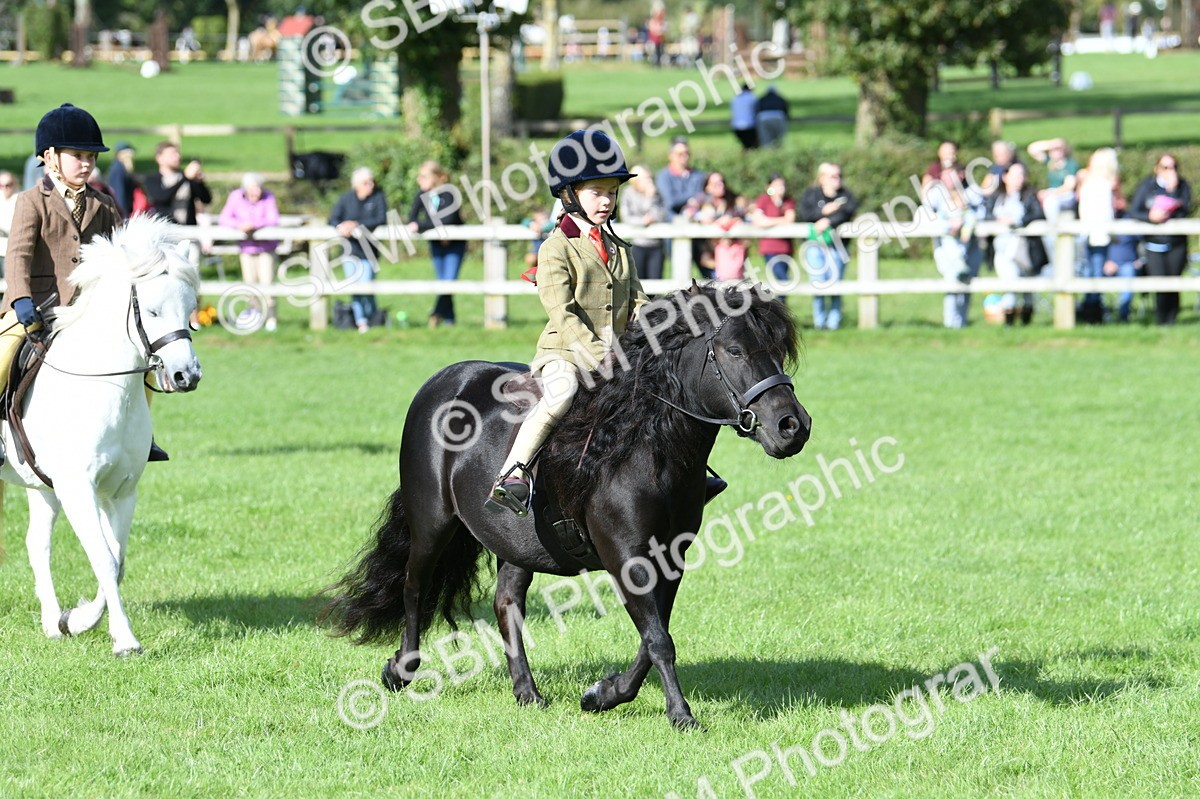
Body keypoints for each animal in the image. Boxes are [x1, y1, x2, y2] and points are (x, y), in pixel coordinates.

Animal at [0, 215, 203, 656]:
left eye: (191, 308)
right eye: (153, 311)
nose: (187, 376)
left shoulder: (120, 490)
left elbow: (116, 560)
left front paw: (77, 620)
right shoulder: (78, 488)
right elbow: (104, 558)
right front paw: (124, 638)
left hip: (41, 486)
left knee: (36, 544)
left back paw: (50, 622)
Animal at [324, 282, 812, 728]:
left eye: (777, 351)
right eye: (735, 351)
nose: (793, 427)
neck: (645, 446)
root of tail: (445, 380)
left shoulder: (670, 557)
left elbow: (653, 635)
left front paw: (602, 694)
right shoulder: (625, 555)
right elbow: (658, 638)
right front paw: (681, 715)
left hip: (515, 543)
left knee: (507, 604)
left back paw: (527, 692)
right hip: (432, 522)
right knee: (415, 586)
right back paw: (400, 671)